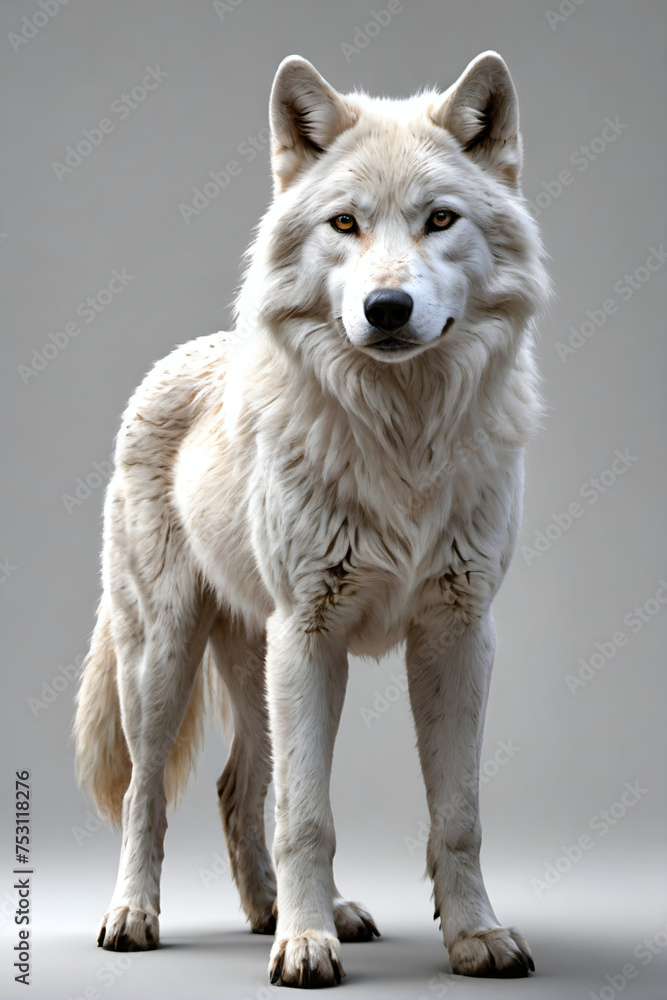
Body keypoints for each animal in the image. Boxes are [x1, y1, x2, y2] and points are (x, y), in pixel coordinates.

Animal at [74, 51, 548, 987]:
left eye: (440, 220)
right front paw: (303, 946)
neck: (403, 440)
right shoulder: (310, 632)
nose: (387, 308)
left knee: (236, 787)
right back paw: (137, 917)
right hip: (167, 658)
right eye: (344, 224)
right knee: (151, 792)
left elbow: (458, 815)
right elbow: (309, 817)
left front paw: (474, 936)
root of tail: (173, 356)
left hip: (258, 664)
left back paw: (279, 913)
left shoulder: (457, 633)